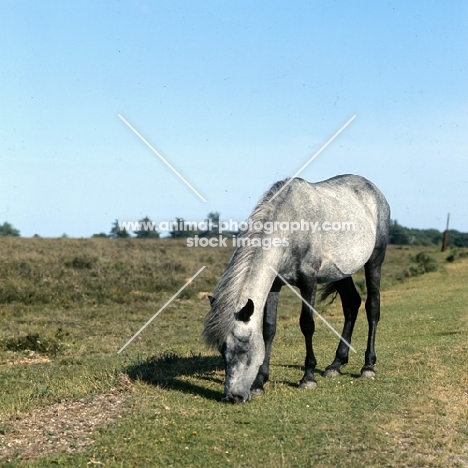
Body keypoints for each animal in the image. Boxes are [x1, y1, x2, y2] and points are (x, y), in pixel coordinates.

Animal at [203, 175, 390, 402]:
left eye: (244, 345)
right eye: (222, 349)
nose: (233, 397)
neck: (291, 226)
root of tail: (374, 190)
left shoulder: (308, 282)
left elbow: (307, 325)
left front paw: (308, 378)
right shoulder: (275, 284)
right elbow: (269, 328)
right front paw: (259, 383)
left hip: (375, 261)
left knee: (372, 308)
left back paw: (368, 366)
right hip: (341, 273)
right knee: (351, 304)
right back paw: (336, 364)